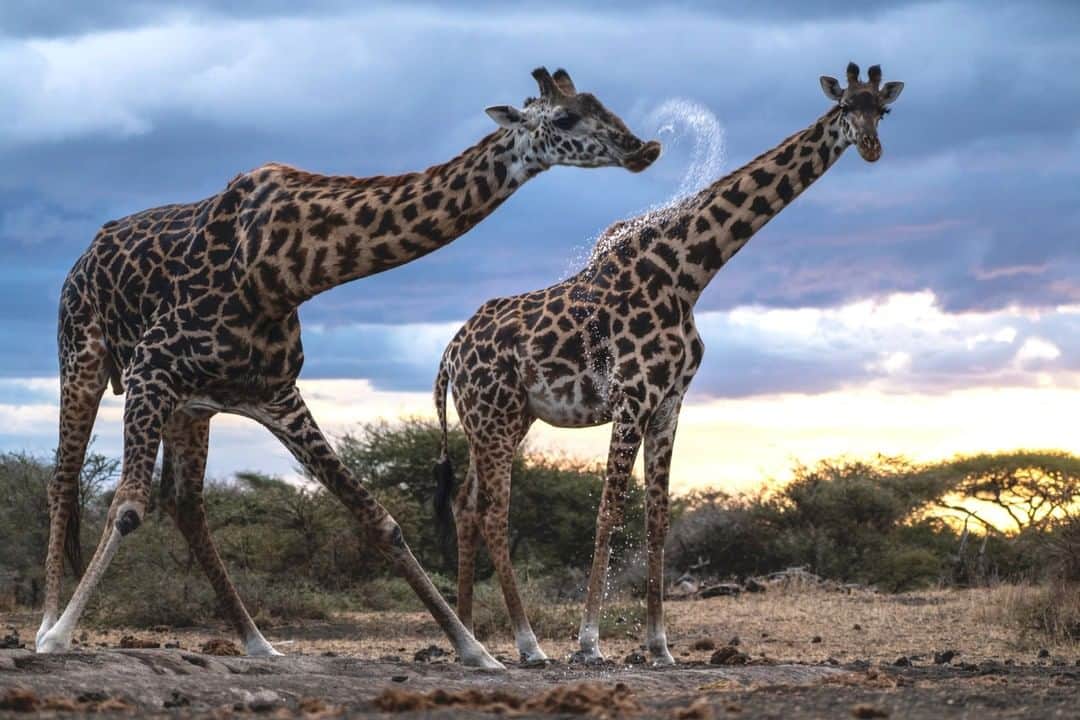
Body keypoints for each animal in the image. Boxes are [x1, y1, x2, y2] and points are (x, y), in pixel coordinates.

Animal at [34, 66, 661, 667]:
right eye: (566, 116)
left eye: (601, 104)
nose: (643, 147)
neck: (284, 268)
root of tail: (82, 257)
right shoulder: (150, 367)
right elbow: (126, 507)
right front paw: (60, 636)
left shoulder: (273, 393)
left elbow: (379, 518)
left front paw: (476, 651)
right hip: (83, 356)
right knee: (65, 478)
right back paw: (45, 622)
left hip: (191, 408)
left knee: (185, 504)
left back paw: (257, 641)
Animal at [433, 63, 904, 664]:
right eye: (846, 106)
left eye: (882, 110)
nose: (870, 146)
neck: (688, 274)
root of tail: (450, 352)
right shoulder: (632, 398)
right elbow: (609, 513)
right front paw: (588, 644)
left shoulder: (670, 403)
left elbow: (657, 520)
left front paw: (659, 645)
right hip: (492, 418)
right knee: (495, 514)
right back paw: (528, 645)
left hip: (503, 419)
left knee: (468, 507)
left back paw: (468, 638)